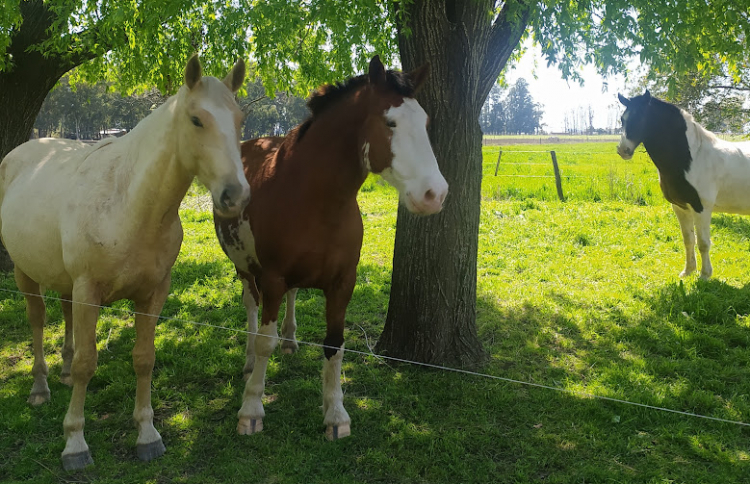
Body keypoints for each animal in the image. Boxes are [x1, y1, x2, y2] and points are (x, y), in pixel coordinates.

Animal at [0, 55, 249, 470]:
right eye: (196, 120)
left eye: (240, 119)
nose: (236, 195)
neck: (130, 202)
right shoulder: (89, 291)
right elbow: (88, 363)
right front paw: (75, 443)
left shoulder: (152, 294)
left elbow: (144, 359)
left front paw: (147, 434)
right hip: (25, 274)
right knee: (37, 321)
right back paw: (40, 387)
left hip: (66, 283)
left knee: (64, 314)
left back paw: (62, 372)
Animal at [214, 55, 448, 440]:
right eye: (390, 122)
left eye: (426, 122)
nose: (435, 194)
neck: (315, 199)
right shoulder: (272, 278)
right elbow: (264, 341)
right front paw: (251, 410)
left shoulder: (342, 283)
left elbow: (334, 345)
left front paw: (336, 414)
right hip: (245, 267)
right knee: (251, 307)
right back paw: (249, 363)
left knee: (292, 298)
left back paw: (291, 341)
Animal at [617, 90, 750, 279]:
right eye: (623, 118)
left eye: (641, 116)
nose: (623, 150)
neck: (692, 157)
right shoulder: (680, 207)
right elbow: (688, 240)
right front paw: (688, 271)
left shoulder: (701, 208)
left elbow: (703, 243)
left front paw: (705, 275)